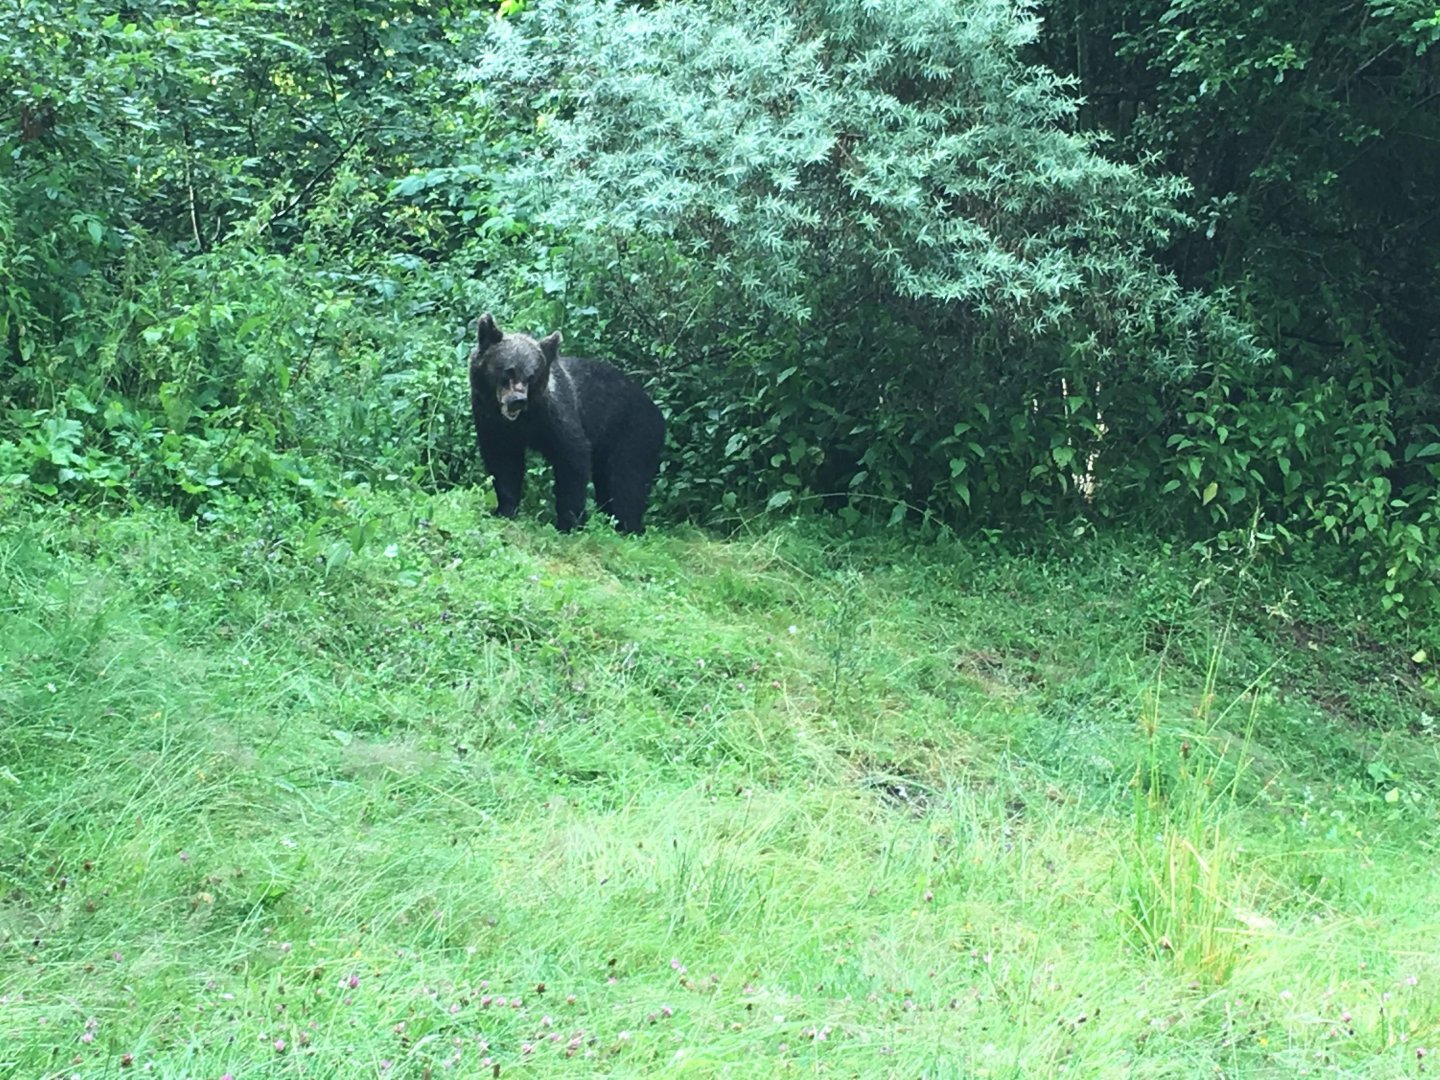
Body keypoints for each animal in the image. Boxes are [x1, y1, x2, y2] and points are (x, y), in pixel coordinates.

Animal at [468, 313, 665, 535]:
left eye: (531, 376)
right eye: (508, 371)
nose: (518, 400)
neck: (524, 420)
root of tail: (657, 412)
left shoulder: (555, 414)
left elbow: (572, 456)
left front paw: (569, 522)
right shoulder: (491, 421)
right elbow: (503, 462)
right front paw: (505, 509)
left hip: (634, 433)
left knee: (627, 481)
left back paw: (628, 526)